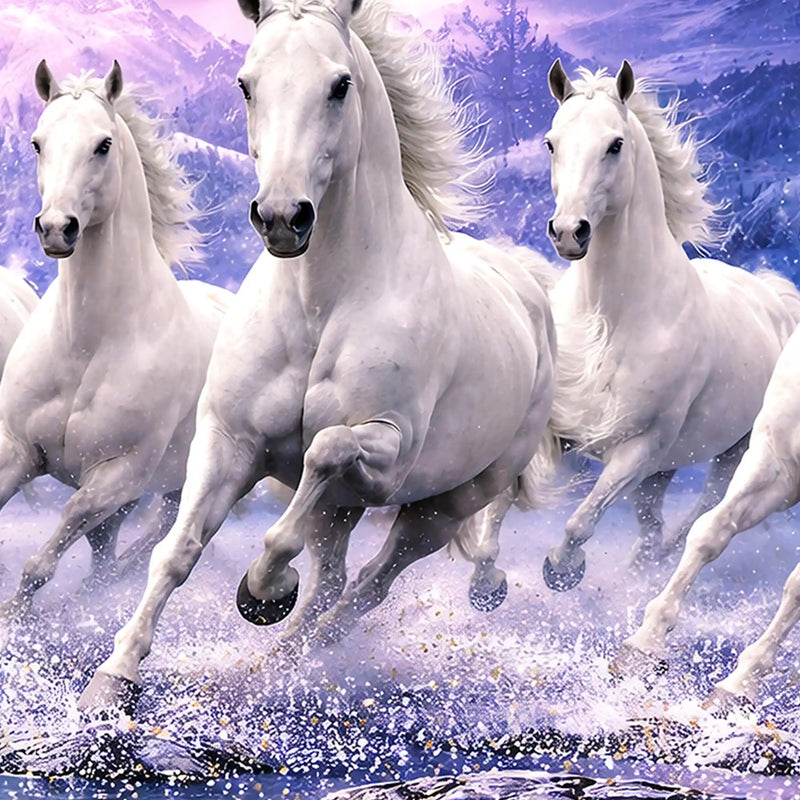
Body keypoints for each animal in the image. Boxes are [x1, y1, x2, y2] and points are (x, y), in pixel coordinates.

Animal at [0, 60, 232, 632]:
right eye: (37, 142)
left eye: (103, 144)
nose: (56, 228)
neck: (87, 346)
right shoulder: (17, 449)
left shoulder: (117, 475)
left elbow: (52, 548)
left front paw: (16, 617)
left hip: (180, 483)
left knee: (150, 537)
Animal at [78, 0, 560, 712]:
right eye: (246, 84)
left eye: (340, 84)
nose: (283, 217)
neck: (320, 303)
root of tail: (528, 288)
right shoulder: (228, 439)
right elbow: (176, 551)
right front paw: (112, 681)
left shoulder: (384, 455)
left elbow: (321, 455)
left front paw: (262, 590)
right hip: (349, 508)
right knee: (335, 581)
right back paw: (266, 667)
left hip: (446, 503)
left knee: (367, 586)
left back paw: (284, 654)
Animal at [521, 59, 800, 593]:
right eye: (550, 142)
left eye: (615, 145)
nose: (569, 232)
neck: (610, 319)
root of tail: (771, 298)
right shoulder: (555, 427)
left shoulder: (640, 449)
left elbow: (581, 520)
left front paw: (562, 570)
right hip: (665, 469)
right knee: (652, 523)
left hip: (730, 453)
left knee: (698, 513)